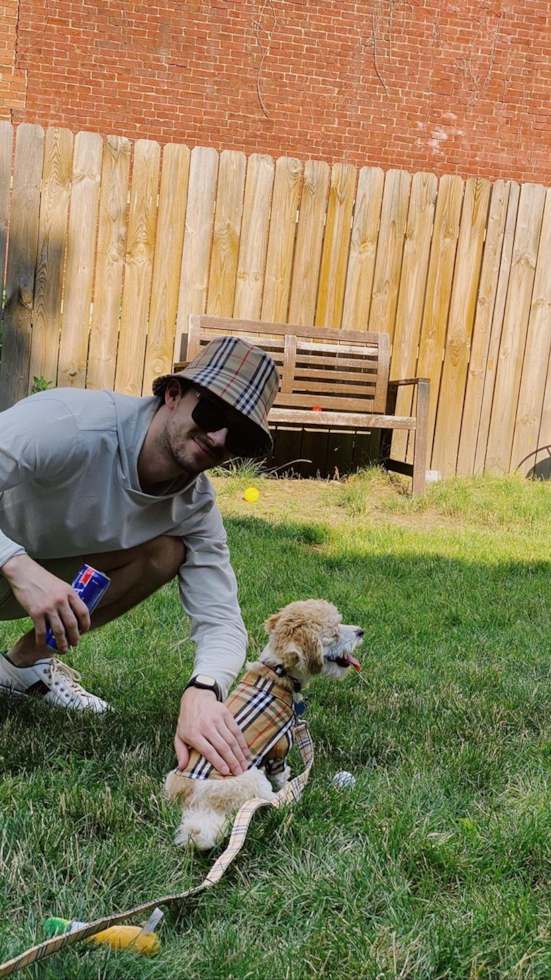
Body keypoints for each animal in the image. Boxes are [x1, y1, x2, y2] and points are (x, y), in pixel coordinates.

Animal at [164, 596, 364, 848]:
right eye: (334, 633)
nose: (361, 631)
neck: (278, 672)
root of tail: (194, 805)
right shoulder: (280, 745)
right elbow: (278, 773)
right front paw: (286, 779)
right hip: (250, 777)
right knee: (270, 800)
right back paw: (293, 795)